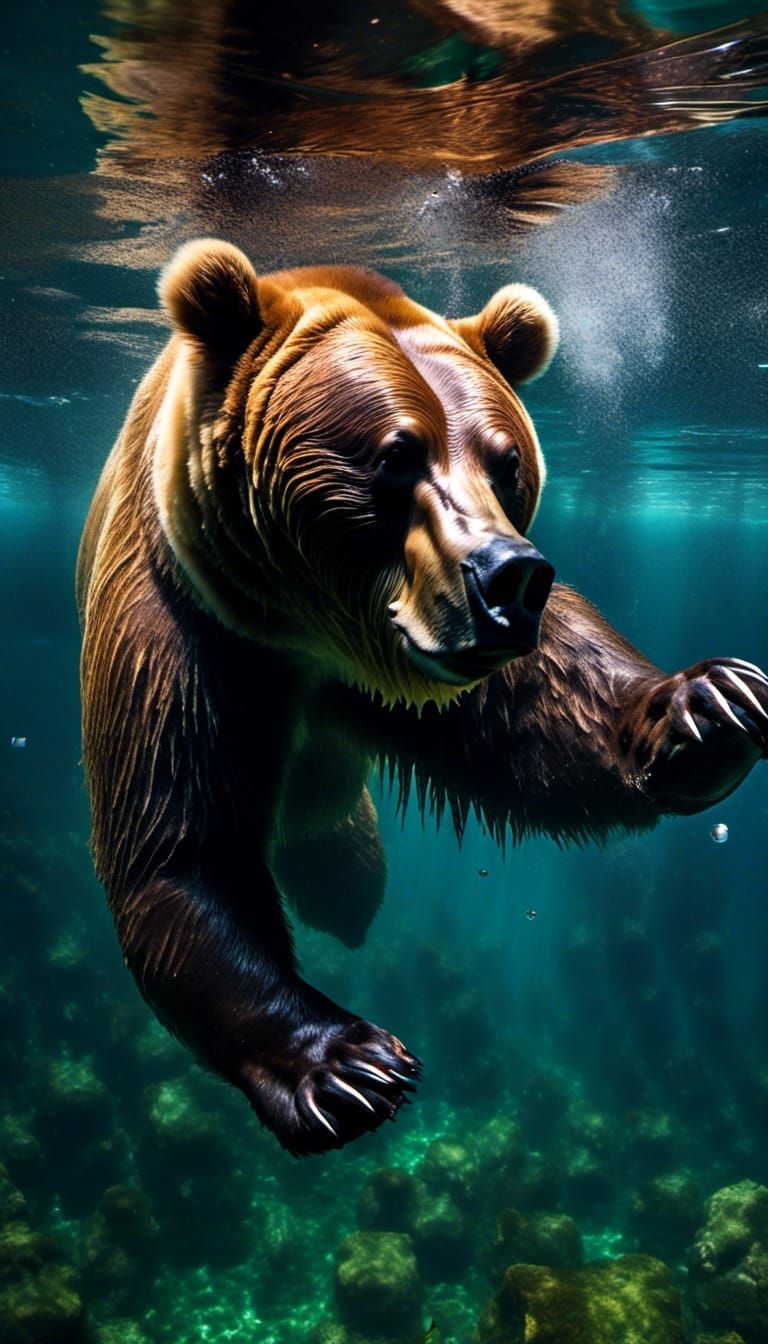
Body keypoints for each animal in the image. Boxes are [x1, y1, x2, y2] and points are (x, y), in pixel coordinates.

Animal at [78, 239, 768, 1156]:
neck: (314, 628)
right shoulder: (190, 621)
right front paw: (347, 1065)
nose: (511, 578)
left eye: (507, 463)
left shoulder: (431, 658)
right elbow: (179, 849)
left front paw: (708, 704)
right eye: (395, 453)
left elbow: (545, 719)